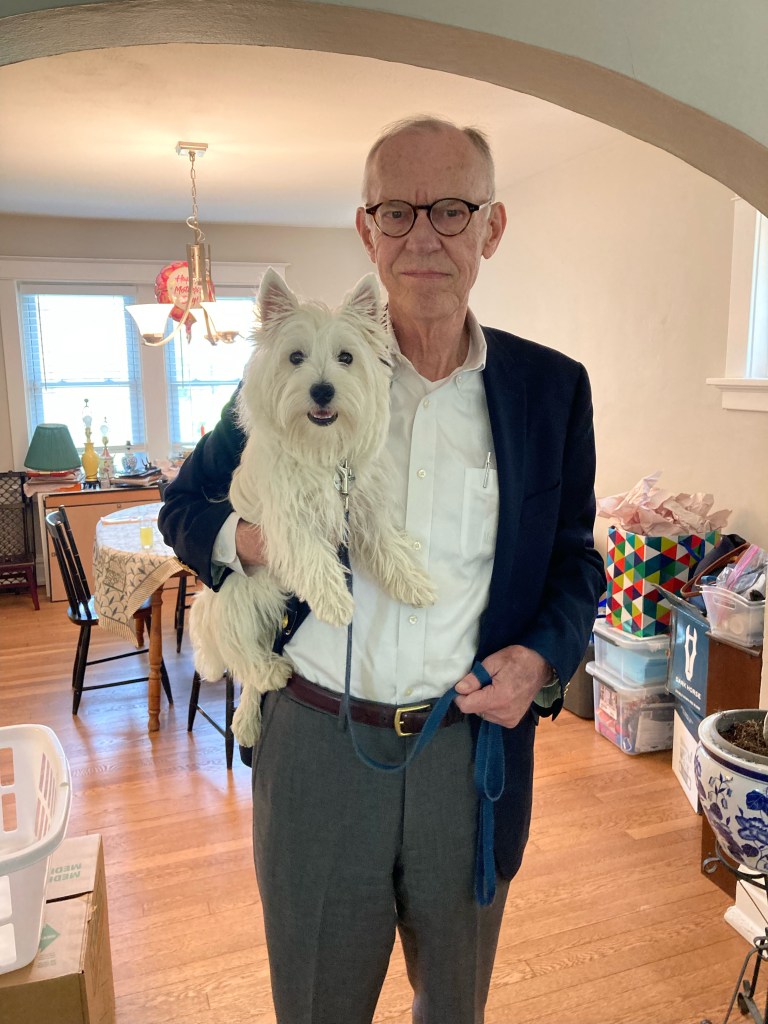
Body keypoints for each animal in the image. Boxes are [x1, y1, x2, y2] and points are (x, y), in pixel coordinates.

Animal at [189, 269, 437, 746]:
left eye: (346, 357)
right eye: (295, 357)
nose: (322, 391)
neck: (324, 452)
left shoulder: (363, 506)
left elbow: (389, 547)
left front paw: (414, 585)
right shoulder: (288, 518)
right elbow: (312, 557)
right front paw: (338, 603)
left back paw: (246, 721)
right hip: (236, 599)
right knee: (245, 657)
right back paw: (269, 675)